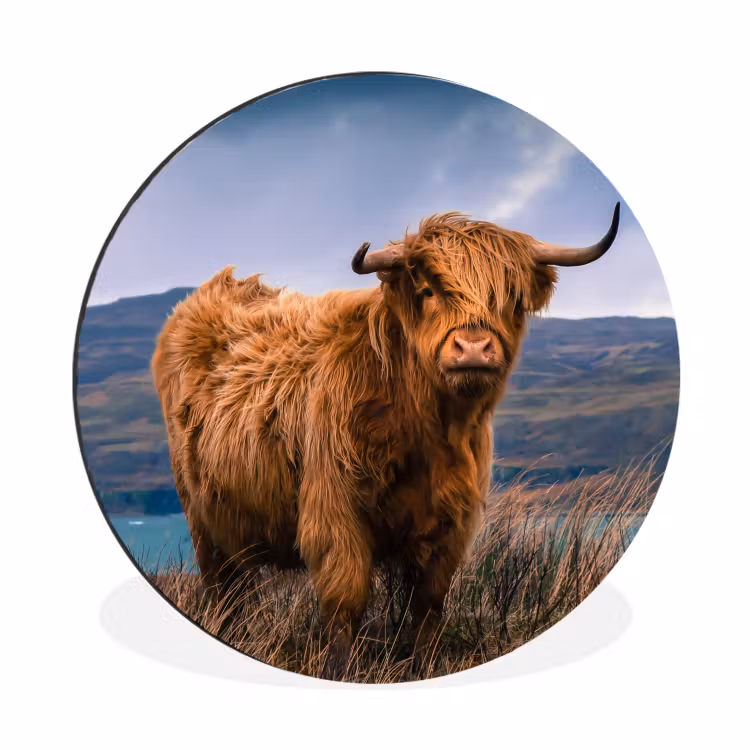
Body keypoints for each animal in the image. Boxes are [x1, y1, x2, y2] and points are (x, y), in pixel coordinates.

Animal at [151, 204, 620, 680]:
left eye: (509, 297)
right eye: (429, 291)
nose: (473, 348)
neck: (427, 430)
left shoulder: (451, 522)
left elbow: (429, 604)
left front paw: (424, 664)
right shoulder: (335, 512)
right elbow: (346, 599)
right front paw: (341, 669)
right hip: (201, 515)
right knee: (221, 586)